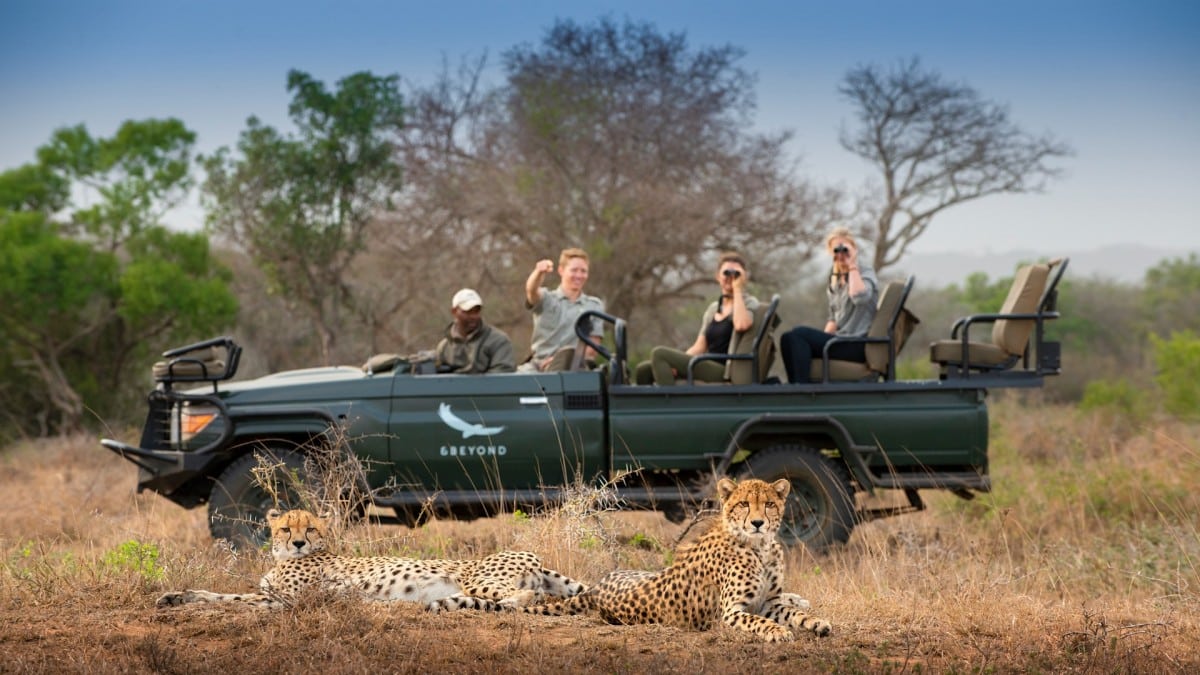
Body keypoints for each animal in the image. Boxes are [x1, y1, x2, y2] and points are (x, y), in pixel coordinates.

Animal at [522, 477, 832, 642]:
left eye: (768, 504)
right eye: (744, 504)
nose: (757, 523)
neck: (761, 547)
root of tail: (600, 586)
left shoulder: (770, 601)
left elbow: (796, 614)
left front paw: (816, 622)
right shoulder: (732, 612)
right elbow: (760, 622)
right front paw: (778, 632)